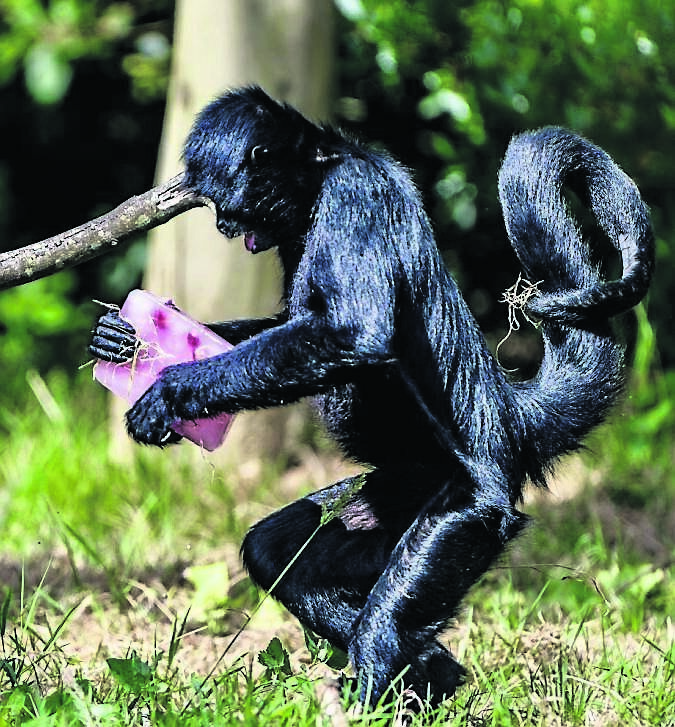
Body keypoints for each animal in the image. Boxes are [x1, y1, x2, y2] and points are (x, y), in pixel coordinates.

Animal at [90, 86, 654, 705]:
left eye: (226, 204)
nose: (221, 223)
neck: (324, 169)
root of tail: (508, 415)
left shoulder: (353, 198)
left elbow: (354, 334)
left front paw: (168, 393)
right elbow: (294, 323)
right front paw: (121, 338)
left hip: (471, 507)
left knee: (393, 605)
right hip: (403, 483)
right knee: (276, 551)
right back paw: (433, 670)